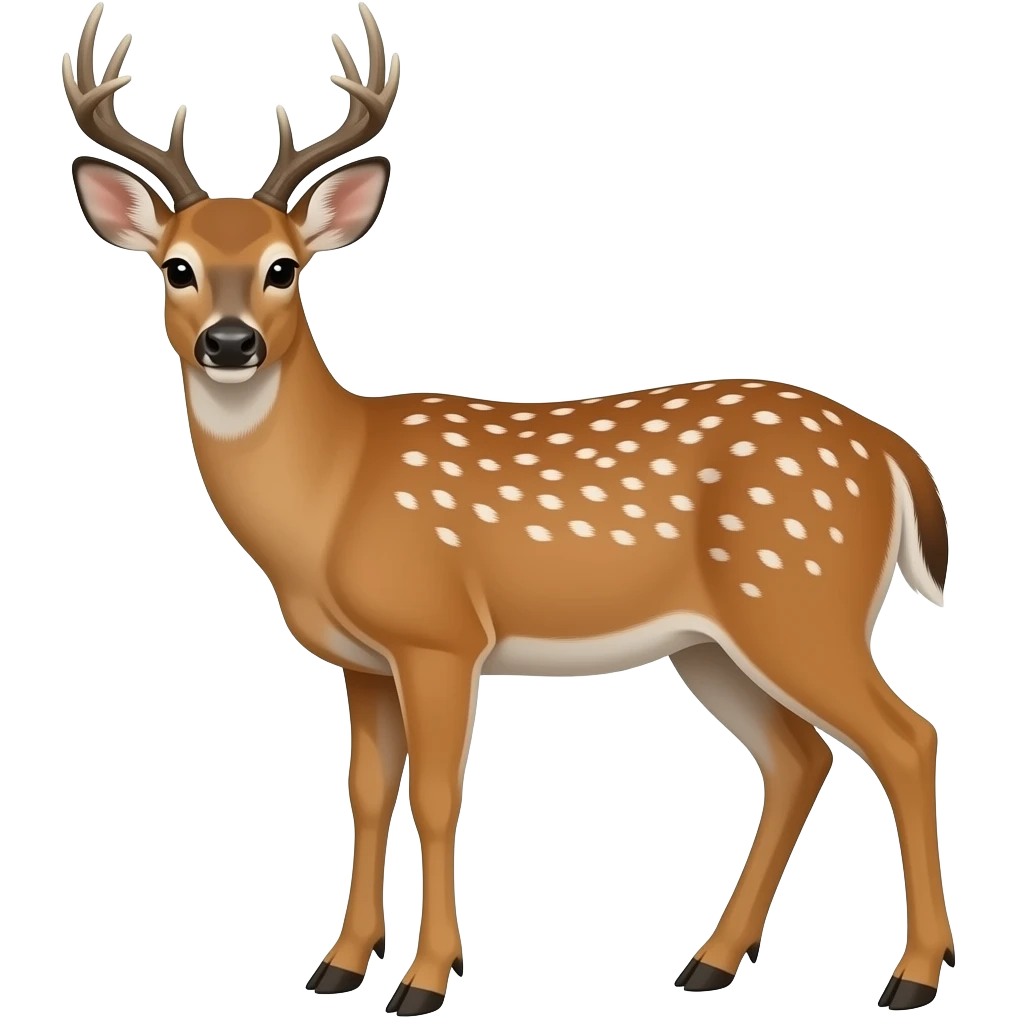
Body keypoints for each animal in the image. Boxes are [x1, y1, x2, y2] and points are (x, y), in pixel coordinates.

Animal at [62, 4, 954, 1014]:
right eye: (175, 269)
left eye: (284, 269)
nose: (229, 342)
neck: (333, 494)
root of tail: (892, 452)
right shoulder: (363, 661)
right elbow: (366, 793)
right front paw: (338, 966)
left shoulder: (440, 632)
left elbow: (438, 796)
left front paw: (424, 980)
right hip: (713, 640)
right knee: (800, 757)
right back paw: (710, 961)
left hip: (800, 596)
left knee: (906, 738)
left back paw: (912, 976)